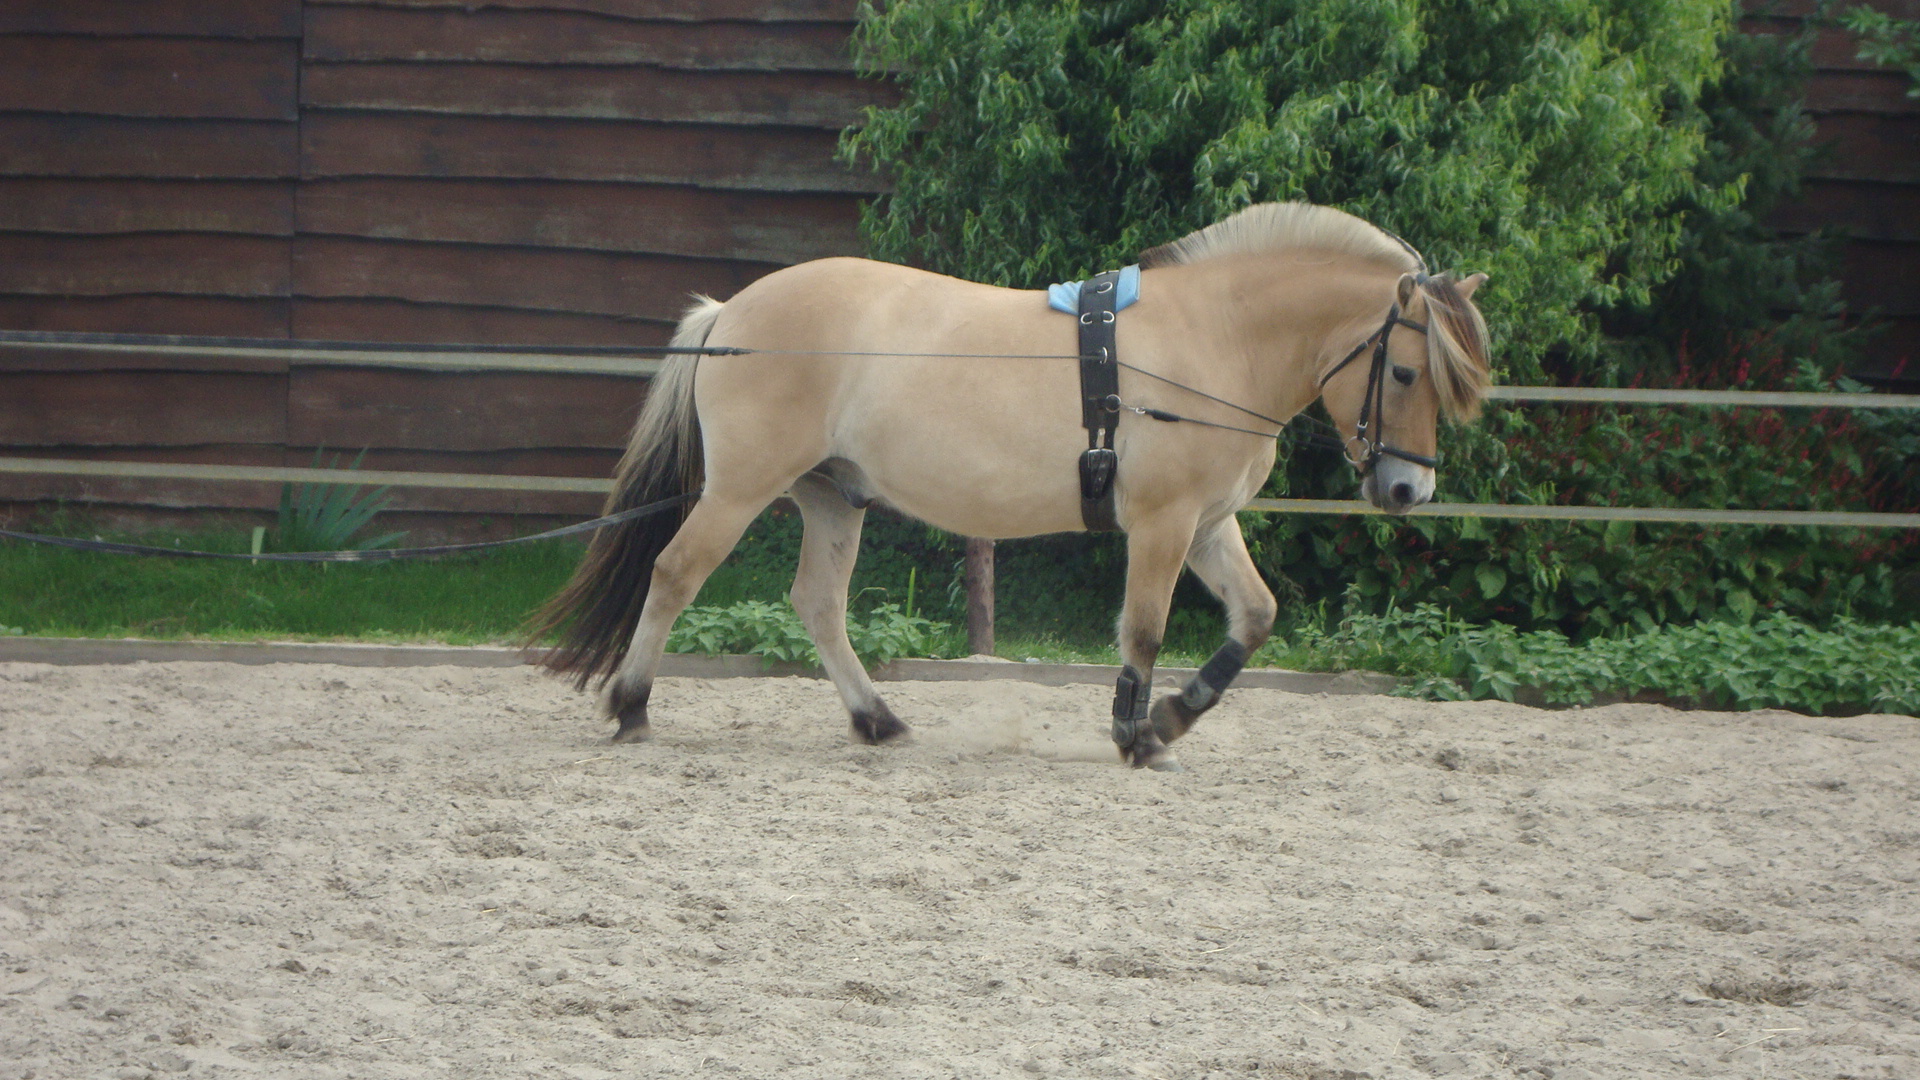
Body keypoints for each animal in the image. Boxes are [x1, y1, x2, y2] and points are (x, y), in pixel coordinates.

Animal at [529, 195, 1497, 764]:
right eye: (1405, 372)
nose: (1409, 491)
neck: (1215, 338)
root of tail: (730, 312)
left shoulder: (1208, 523)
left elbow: (1254, 617)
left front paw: (1173, 718)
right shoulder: (1163, 523)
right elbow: (1143, 630)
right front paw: (1135, 732)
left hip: (831, 495)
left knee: (818, 605)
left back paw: (877, 719)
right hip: (740, 490)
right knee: (674, 575)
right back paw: (631, 705)